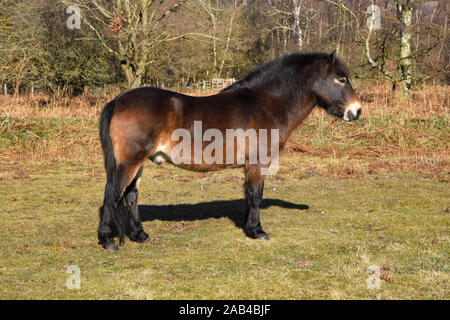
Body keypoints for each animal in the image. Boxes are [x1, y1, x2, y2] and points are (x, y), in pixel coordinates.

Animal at [98, 50, 362, 250]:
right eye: (340, 79)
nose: (357, 110)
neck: (265, 104)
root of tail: (118, 100)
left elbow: (249, 196)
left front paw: (249, 227)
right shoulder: (257, 163)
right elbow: (255, 196)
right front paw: (257, 231)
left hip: (138, 163)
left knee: (131, 196)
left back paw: (139, 235)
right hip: (129, 162)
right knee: (112, 194)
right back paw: (107, 240)